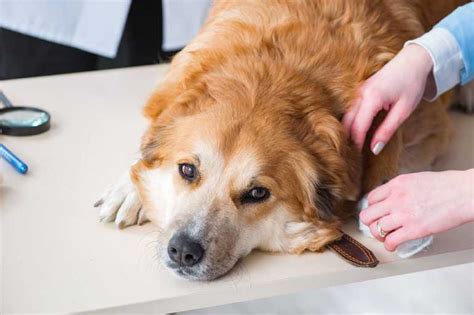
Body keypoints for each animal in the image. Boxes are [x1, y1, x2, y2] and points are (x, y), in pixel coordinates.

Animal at [95, 0, 466, 282]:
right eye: (187, 170)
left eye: (257, 193)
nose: (184, 251)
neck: (274, 77)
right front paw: (130, 189)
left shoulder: (427, 127)